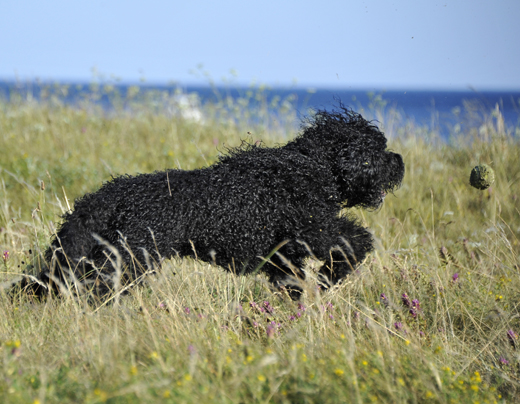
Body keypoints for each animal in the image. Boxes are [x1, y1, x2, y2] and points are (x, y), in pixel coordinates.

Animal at [19, 107, 402, 300]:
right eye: (378, 150)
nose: (399, 161)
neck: (312, 164)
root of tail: (109, 194)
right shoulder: (316, 229)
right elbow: (356, 241)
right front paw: (329, 278)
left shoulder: (284, 254)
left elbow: (291, 284)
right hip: (131, 256)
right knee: (96, 289)